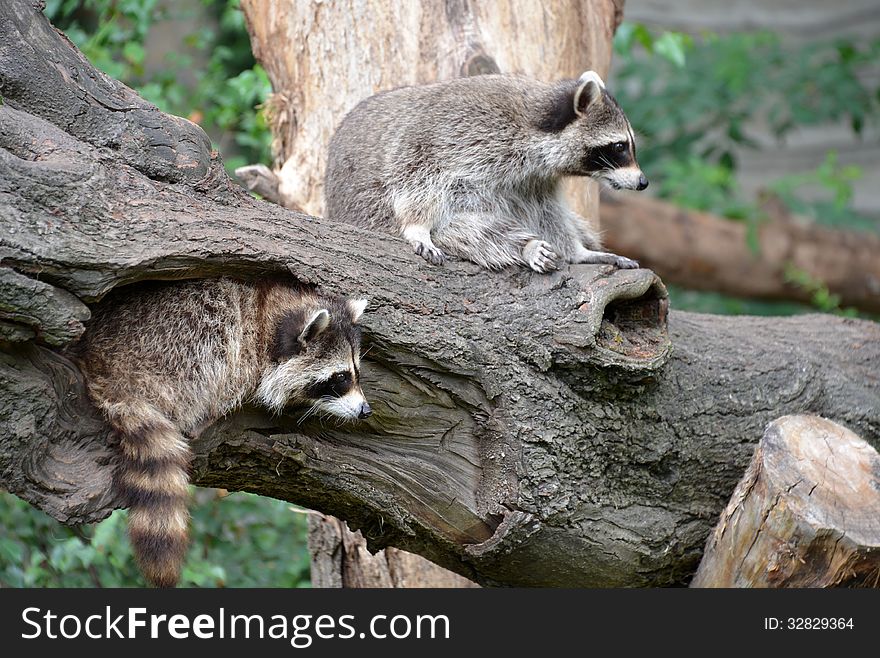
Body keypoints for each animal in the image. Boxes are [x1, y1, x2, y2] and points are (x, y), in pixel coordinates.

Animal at [71, 276, 368, 584]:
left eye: (356, 373)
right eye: (342, 378)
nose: (365, 410)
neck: (265, 313)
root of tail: (101, 363)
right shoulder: (241, 348)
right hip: (171, 345)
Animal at [324, 72, 648, 274]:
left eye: (629, 145)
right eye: (619, 146)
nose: (643, 182)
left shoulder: (535, 179)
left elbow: (547, 213)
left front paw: (578, 252)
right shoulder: (452, 130)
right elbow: (416, 174)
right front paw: (418, 227)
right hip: (372, 214)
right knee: (466, 230)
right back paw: (524, 246)